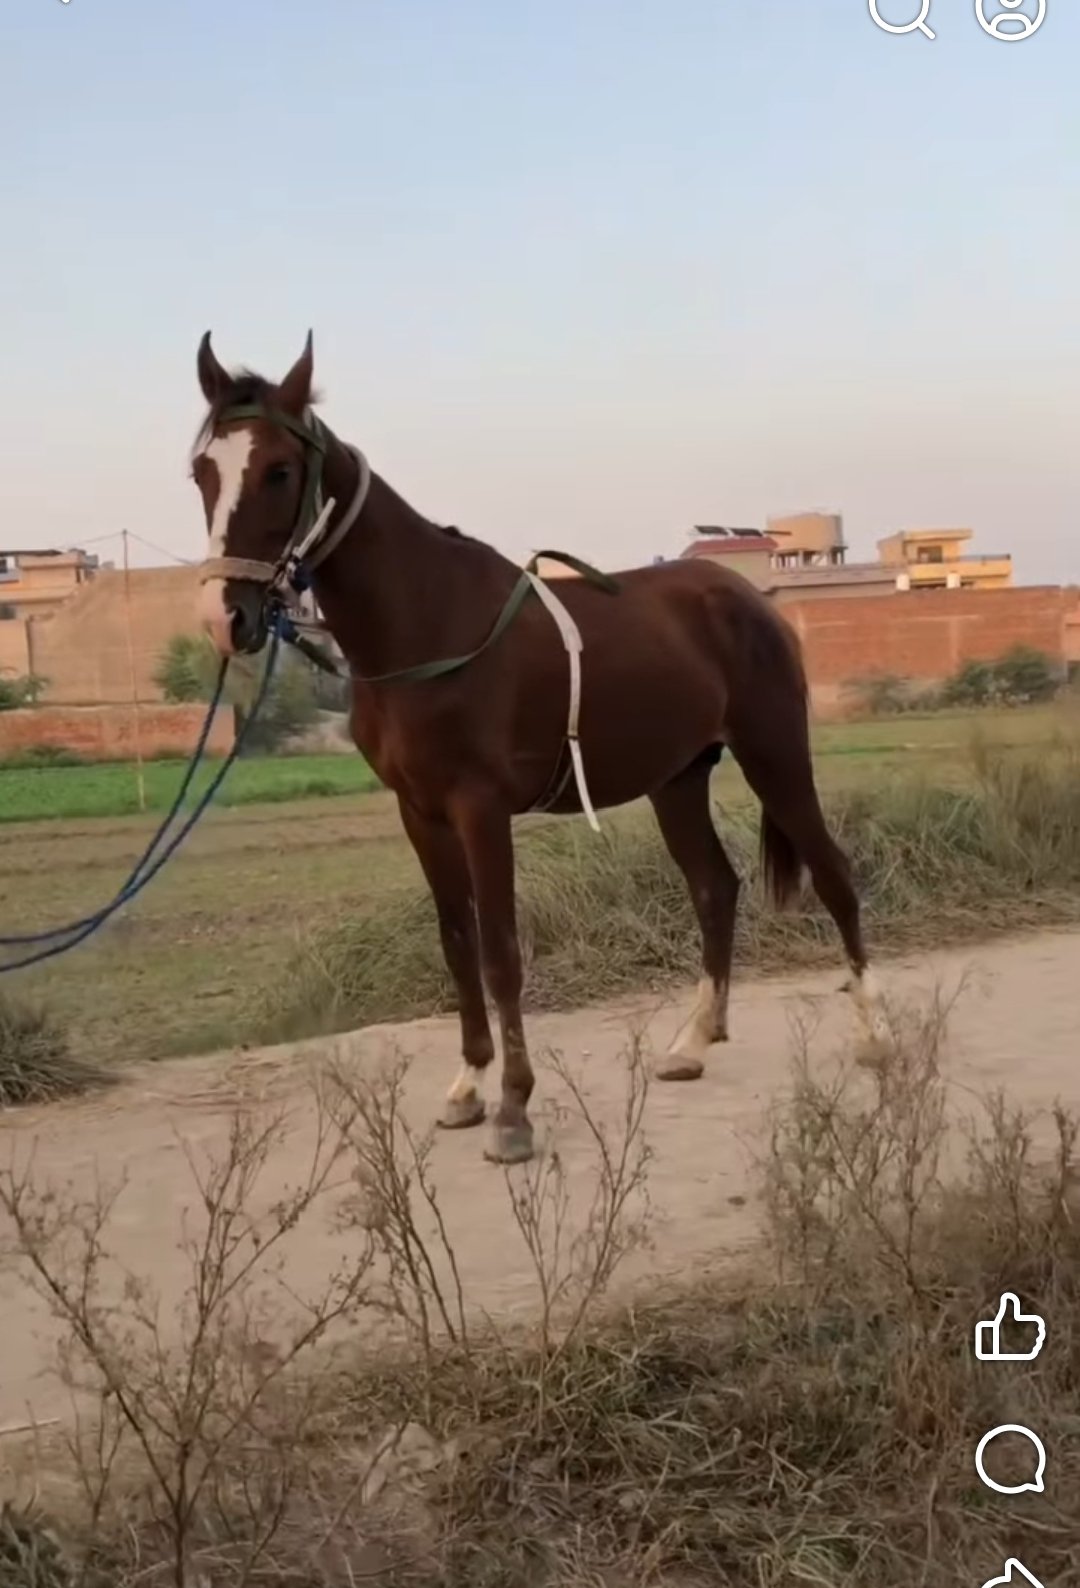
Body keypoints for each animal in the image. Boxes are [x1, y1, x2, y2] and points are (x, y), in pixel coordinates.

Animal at [191, 331, 887, 1165]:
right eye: (202, 471)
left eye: (279, 470)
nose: (227, 617)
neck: (428, 624)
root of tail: (752, 599)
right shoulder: (419, 813)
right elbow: (457, 942)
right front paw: (467, 1087)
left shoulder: (480, 809)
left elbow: (500, 952)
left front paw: (514, 1110)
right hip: (678, 779)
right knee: (715, 888)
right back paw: (693, 1040)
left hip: (775, 756)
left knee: (835, 876)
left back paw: (874, 1034)